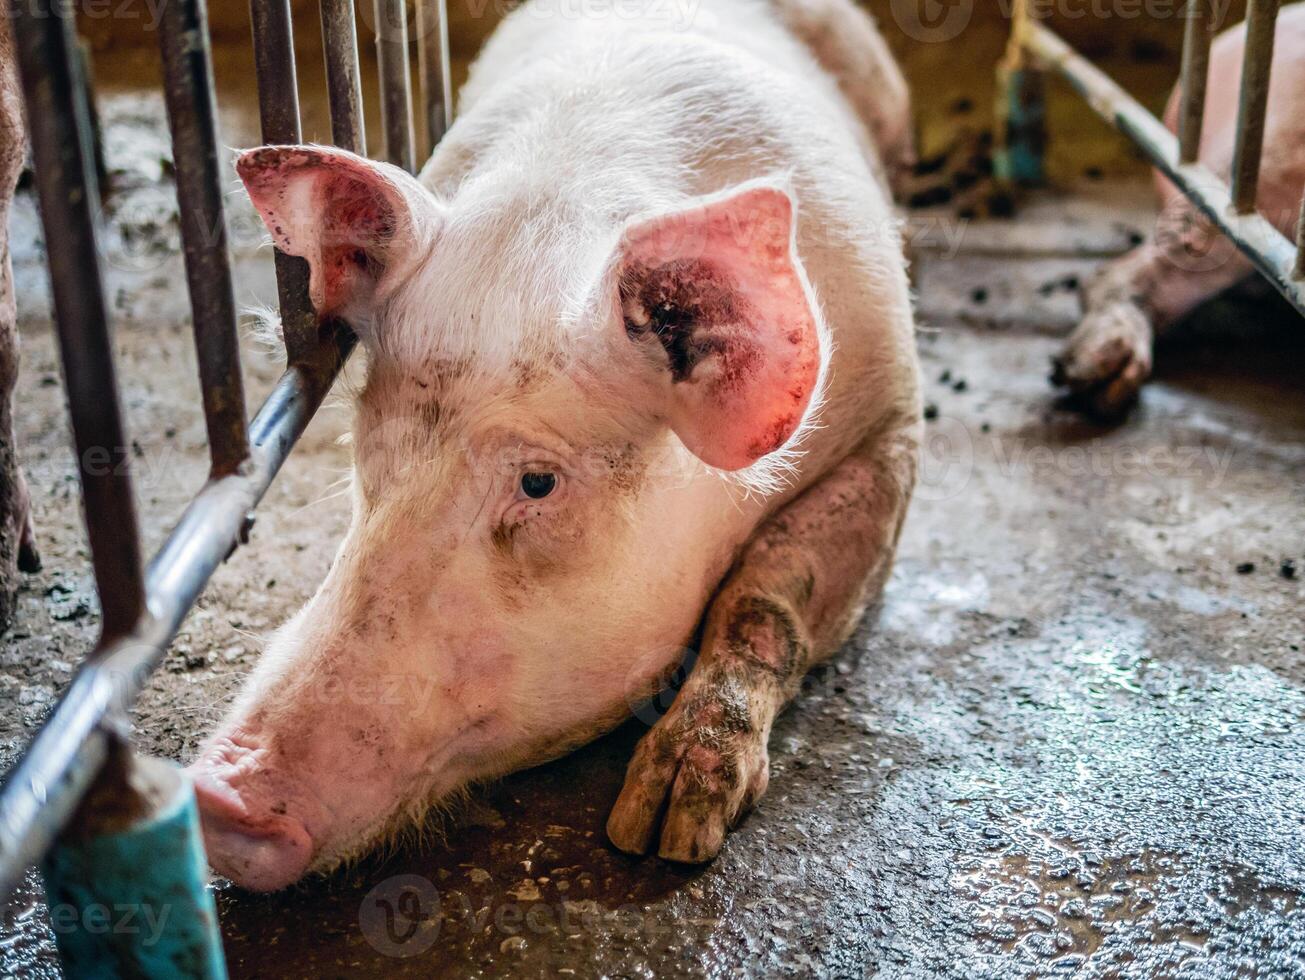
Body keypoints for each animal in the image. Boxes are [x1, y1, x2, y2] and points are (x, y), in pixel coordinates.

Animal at [189, 0, 923, 892]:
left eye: (537, 484)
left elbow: (769, 592)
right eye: (370, 455)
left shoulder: (893, 420)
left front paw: (661, 828)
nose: (219, 796)